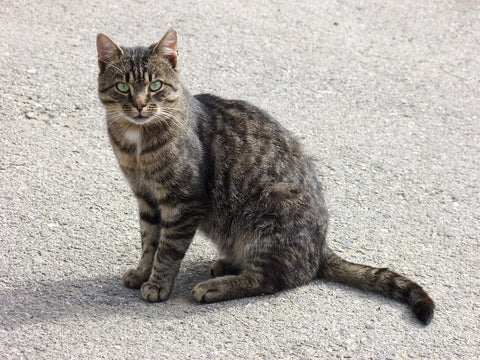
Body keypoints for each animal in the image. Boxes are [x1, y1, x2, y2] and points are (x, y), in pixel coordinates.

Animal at [95, 29, 434, 324]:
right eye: (123, 87)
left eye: (155, 86)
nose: (140, 105)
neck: (137, 143)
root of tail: (321, 247)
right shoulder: (146, 198)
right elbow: (149, 241)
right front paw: (142, 272)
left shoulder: (183, 201)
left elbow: (168, 249)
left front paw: (158, 284)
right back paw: (225, 264)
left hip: (272, 207)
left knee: (272, 278)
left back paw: (215, 286)